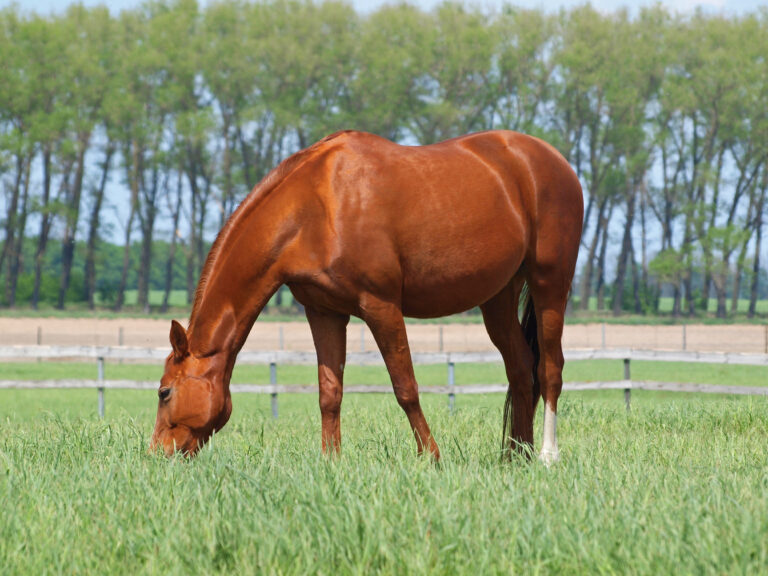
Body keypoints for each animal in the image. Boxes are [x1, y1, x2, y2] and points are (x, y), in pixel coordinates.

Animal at [150, 130, 583, 464]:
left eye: (164, 391)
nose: (156, 454)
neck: (314, 207)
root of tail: (553, 160)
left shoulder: (381, 306)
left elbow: (405, 387)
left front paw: (432, 457)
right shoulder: (323, 312)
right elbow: (329, 392)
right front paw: (331, 462)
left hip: (549, 284)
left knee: (549, 369)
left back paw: (547, 456)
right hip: (498, 297)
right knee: (520, 369)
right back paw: (515, 457)